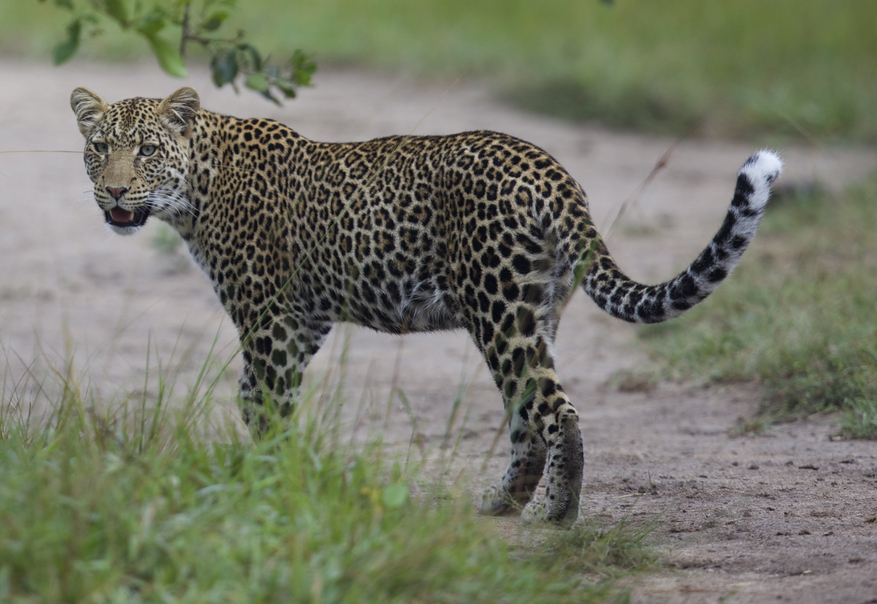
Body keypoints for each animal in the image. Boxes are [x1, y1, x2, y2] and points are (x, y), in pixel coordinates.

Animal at [70, 87, 780, 528]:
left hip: (499, 309)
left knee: (556, 410)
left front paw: (267, 484)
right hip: (537, 311)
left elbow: (265, 403)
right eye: (100, 148)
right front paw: (279, 473)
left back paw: (553, 513)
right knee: (525, 413)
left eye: (147, 150)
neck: (196, 188)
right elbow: (255, 400)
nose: (114, 192)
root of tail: (550, 170)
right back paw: (503, 502)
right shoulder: (303, 322)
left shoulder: (269, 318)